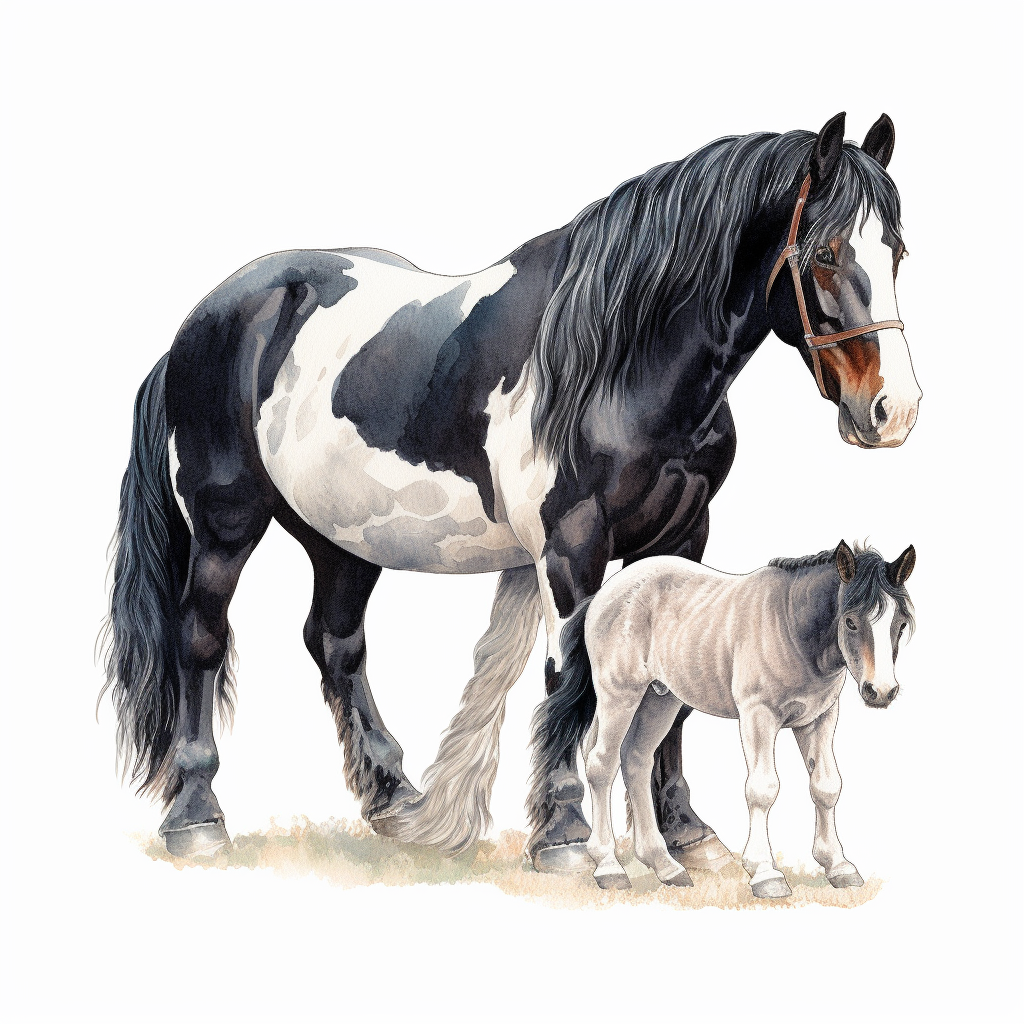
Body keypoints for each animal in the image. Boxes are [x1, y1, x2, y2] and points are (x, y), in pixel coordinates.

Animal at [531, 541, 916, 895]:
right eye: (850, 621)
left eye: (900, 625)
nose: (881, 691)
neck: (791, 625)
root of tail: (602, 595)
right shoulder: (758, 716)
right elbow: (762, 789)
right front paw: (765, 873)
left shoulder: (818, 719)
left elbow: (826, 786)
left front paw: (838, 866)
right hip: (620, 696)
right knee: (602, 763)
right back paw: (609, 867)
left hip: (660, 699)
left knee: (636, 759)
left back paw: (666, 866)